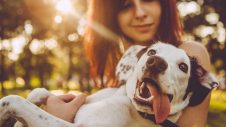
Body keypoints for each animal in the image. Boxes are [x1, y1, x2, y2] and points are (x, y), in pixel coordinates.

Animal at [0, 41, 219, 126]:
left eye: (183, 66)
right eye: (152, 52)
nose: (155, 62)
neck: (125, 101)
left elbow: (15, 100)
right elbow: (39, 92)